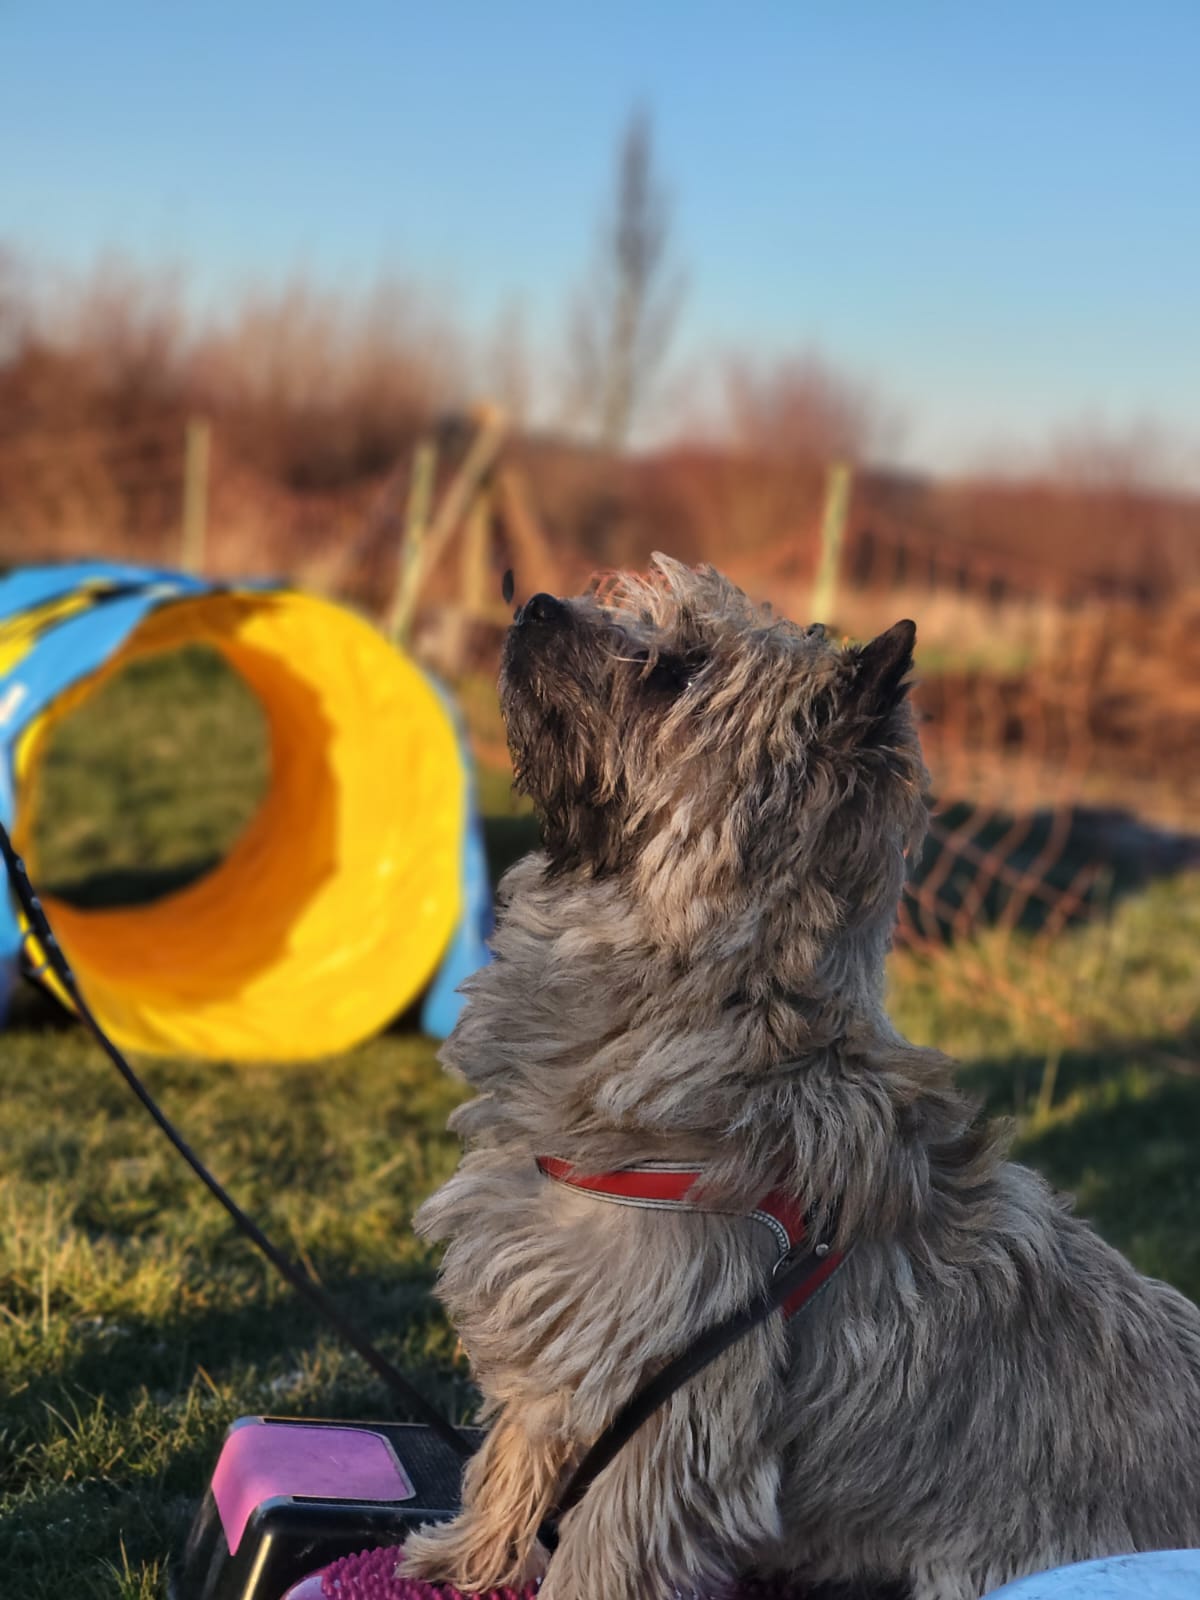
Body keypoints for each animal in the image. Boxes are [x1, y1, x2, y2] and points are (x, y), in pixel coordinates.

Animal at [404, 560, 1200, 1600]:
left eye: (677, 670)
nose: (533, 604)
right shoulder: (560, 1320)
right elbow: (517, 1455)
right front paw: (463, 1557)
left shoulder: (669, 1415)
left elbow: (598, 1554)